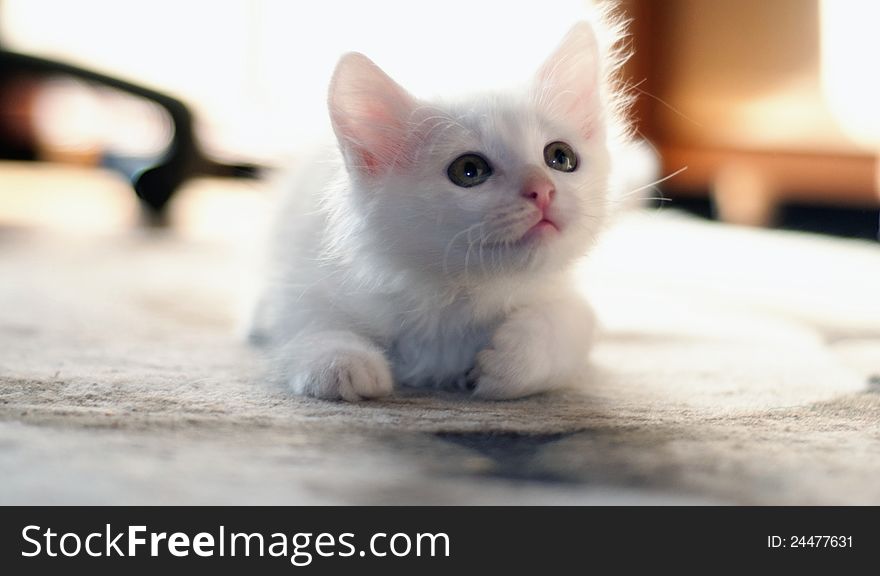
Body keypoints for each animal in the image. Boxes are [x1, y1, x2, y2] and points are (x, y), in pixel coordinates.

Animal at [251, 14, 636, 400]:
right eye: (469, 170)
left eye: (560, 157)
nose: (542, 190)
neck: (455, 296)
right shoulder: (306, 279)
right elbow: (310, 324)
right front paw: (342, 363)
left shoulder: (565, 297)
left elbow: (565, 325)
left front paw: (510, 362)